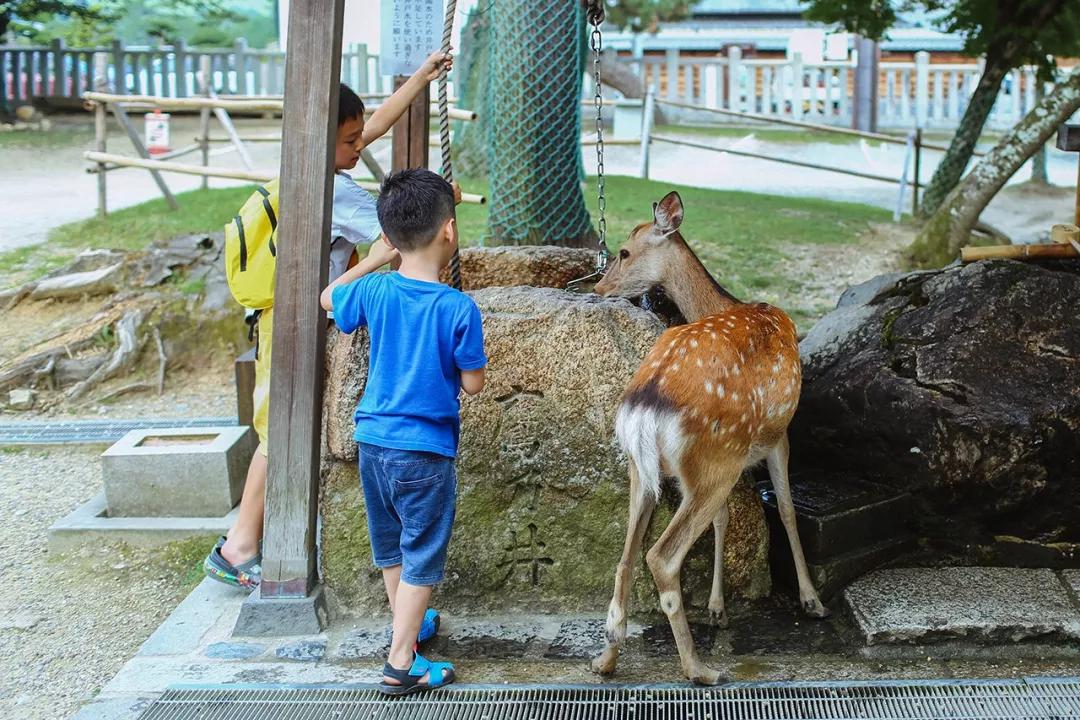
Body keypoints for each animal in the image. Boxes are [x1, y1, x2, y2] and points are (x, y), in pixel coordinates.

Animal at [591, 188, 825, 686]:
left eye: (624, 251)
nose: (597, 288)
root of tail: (646, 404)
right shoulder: (778, 434)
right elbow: (787, 511)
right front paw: (811, 600)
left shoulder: (743, 453)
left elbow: (727, 520)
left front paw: (718, 609)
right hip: (714, 460)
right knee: (661, 557)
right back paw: (699, 668)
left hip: (647, 467)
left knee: (626, 556)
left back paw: (606, 658)